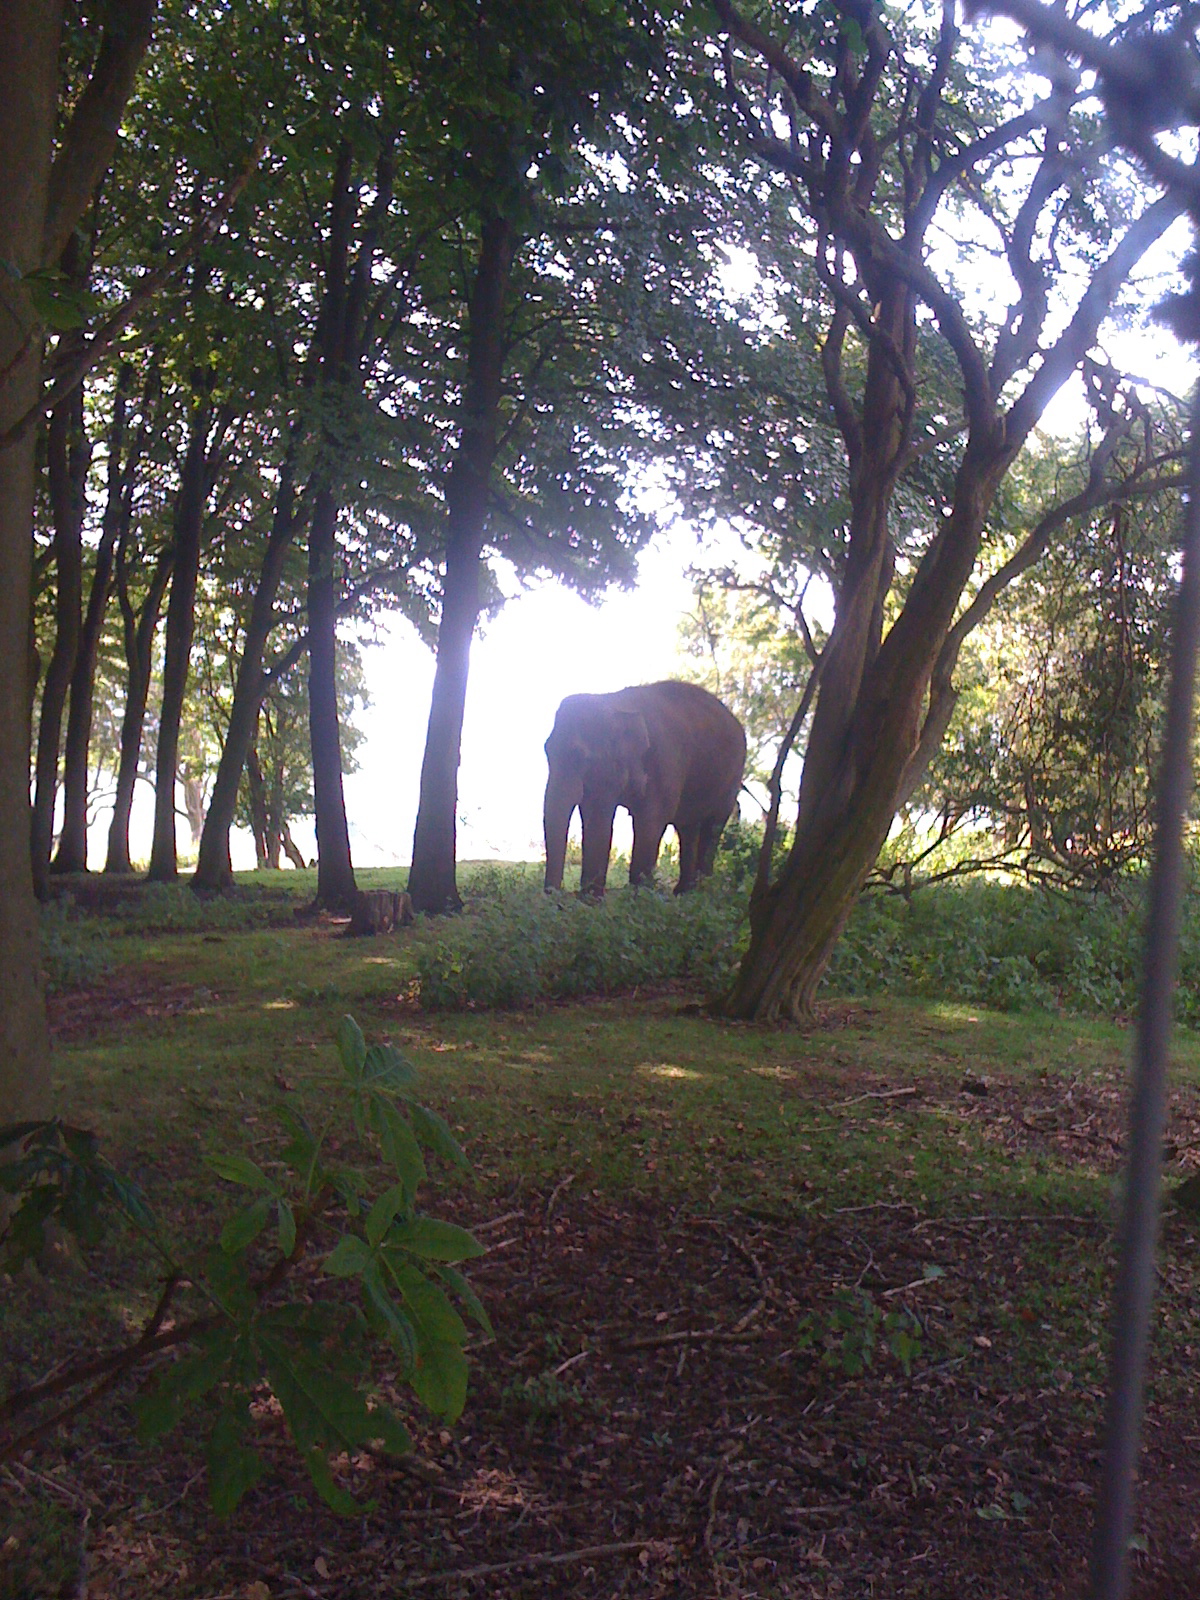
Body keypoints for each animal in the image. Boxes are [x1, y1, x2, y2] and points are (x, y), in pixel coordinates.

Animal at [543, 680, 747, 896]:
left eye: (581, 757)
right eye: (547, 751)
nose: (554, 893)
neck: (613, 701)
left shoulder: (664, 764)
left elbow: (649, 823)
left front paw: (638, 897)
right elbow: (596, 818)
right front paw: (590, 899)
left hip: (731, 778)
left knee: (713, 826)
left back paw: (702, 890)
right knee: (688, 827)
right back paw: (683, 892)